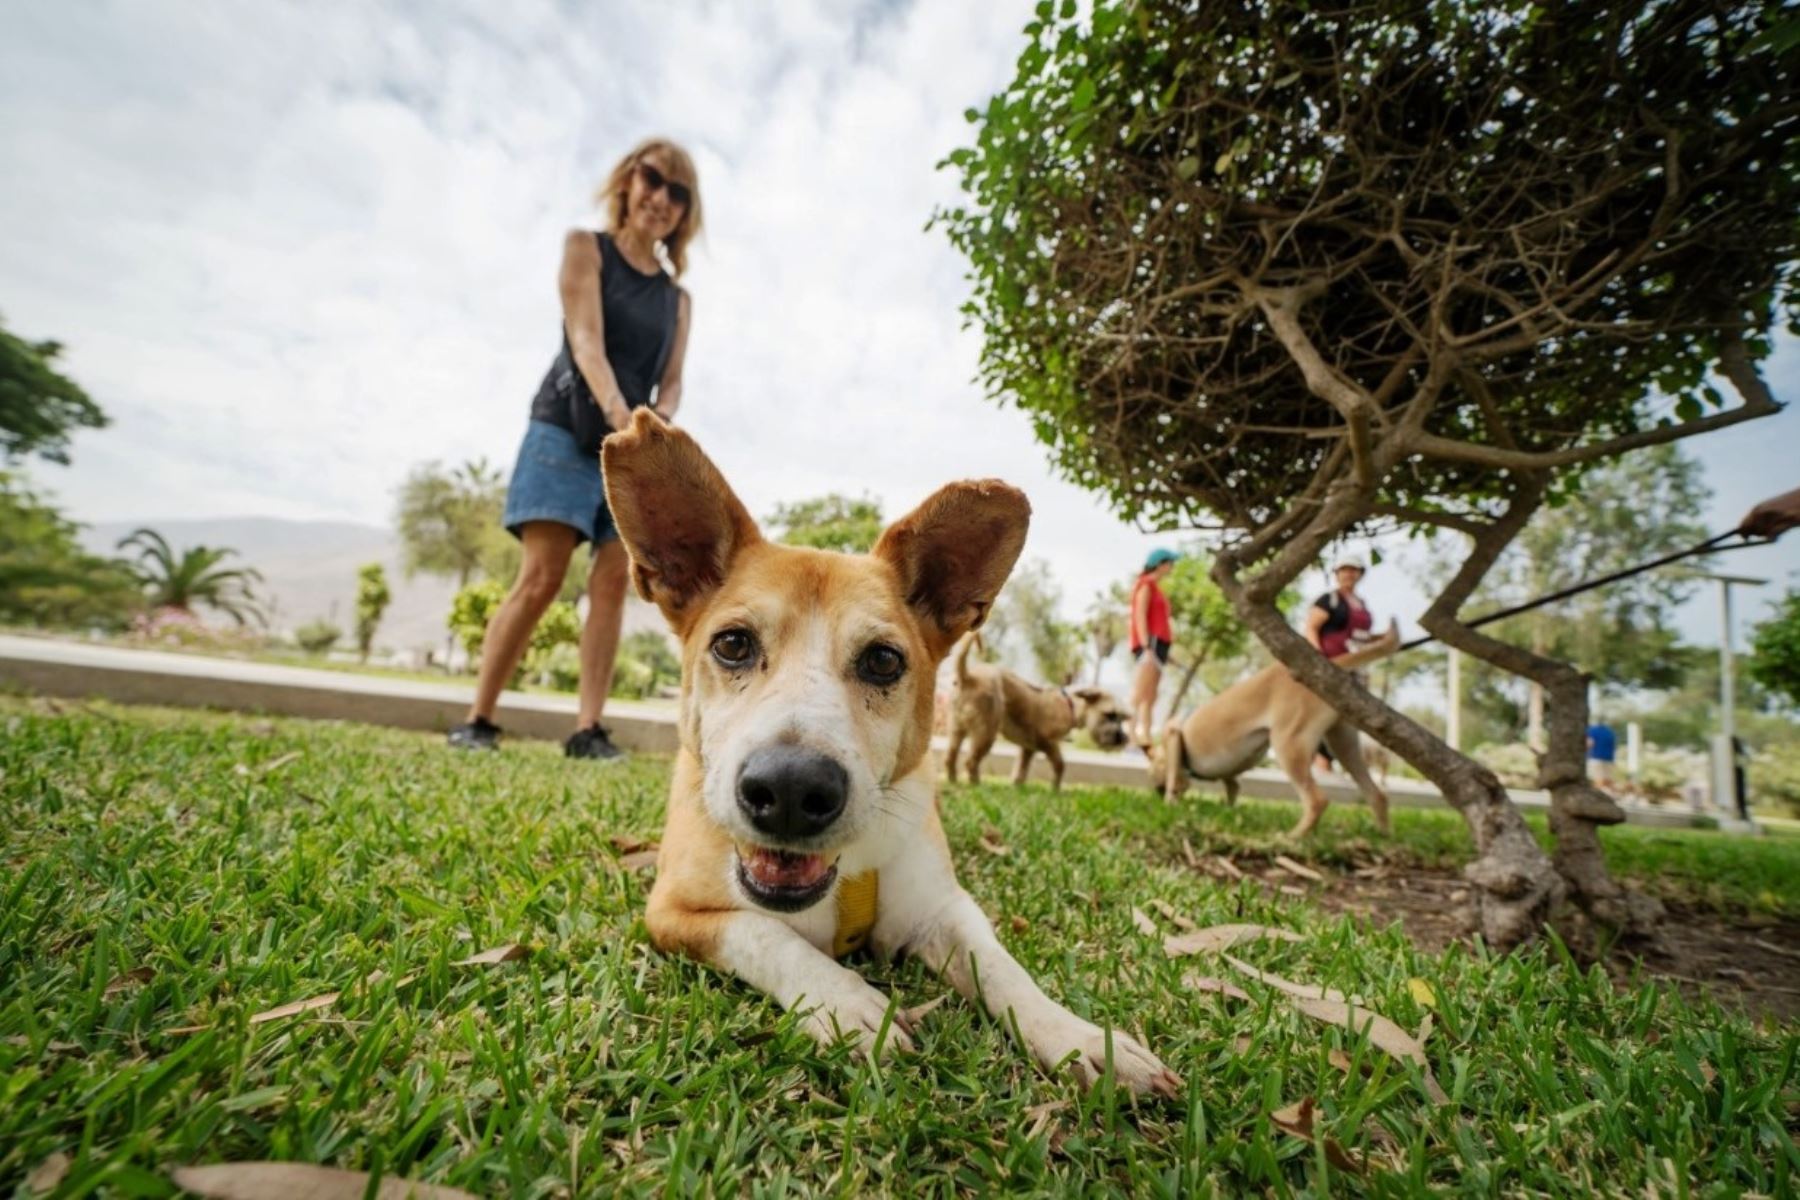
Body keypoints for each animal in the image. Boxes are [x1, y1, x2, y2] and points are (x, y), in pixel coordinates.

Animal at [943, 633, 1123, 791]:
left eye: (1121, 717)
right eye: (1110, 714)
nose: (1121, 738)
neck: (1070, 705)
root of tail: (968, 677)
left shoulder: (1027, 748)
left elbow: (1022, 769)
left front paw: (1018, 787)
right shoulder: (1048, 742)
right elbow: (1059, 764)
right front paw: (1056, 789)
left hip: (956, 729)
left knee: (950, 758)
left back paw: (953, 781)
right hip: (985, 732)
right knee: (970, 761)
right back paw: (977, 785)